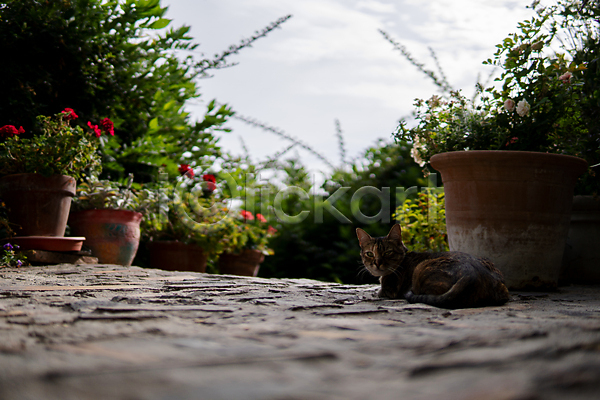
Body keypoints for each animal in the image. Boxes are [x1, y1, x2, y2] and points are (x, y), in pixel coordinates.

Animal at [358, 225, 508, 310]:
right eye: (370, 254)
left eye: (388, 252)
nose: (377, 262)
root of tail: (472, 273)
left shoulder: (389, 290)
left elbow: (380, 292)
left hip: (421, 269)